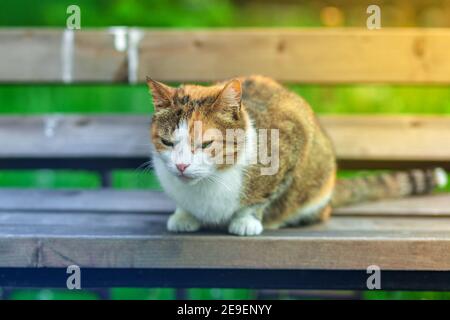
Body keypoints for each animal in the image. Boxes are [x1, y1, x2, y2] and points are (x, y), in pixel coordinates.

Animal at [147, 74, 446, 235]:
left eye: (206, 144)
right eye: (167, 142)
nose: (182, 166)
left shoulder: (292, 138)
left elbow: (261, 197)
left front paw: (246, 220)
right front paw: (184, 215)